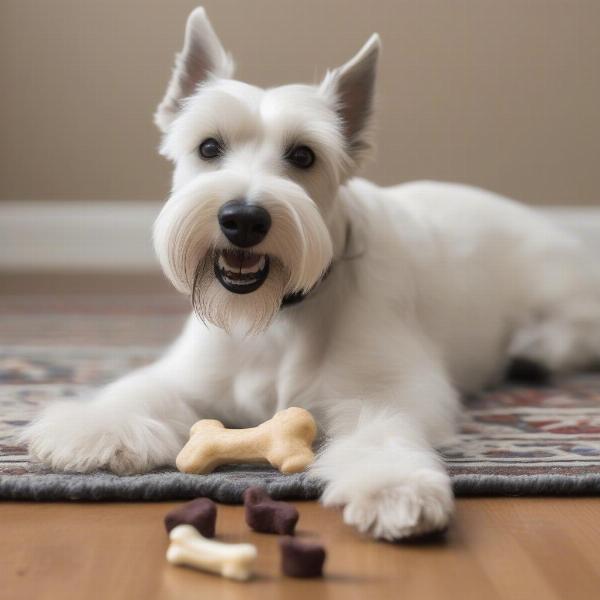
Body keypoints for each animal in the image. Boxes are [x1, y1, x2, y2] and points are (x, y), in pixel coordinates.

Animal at [25, 5, 600, 540]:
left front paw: (394, 488)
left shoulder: (385, 389)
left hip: (560, 291)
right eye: (208, 147)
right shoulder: (190, 375)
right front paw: (97, 429)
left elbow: (383, 432)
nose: (243, 219)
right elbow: (140, 390)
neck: (276, 317)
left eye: (304, 155)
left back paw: (533, 351)